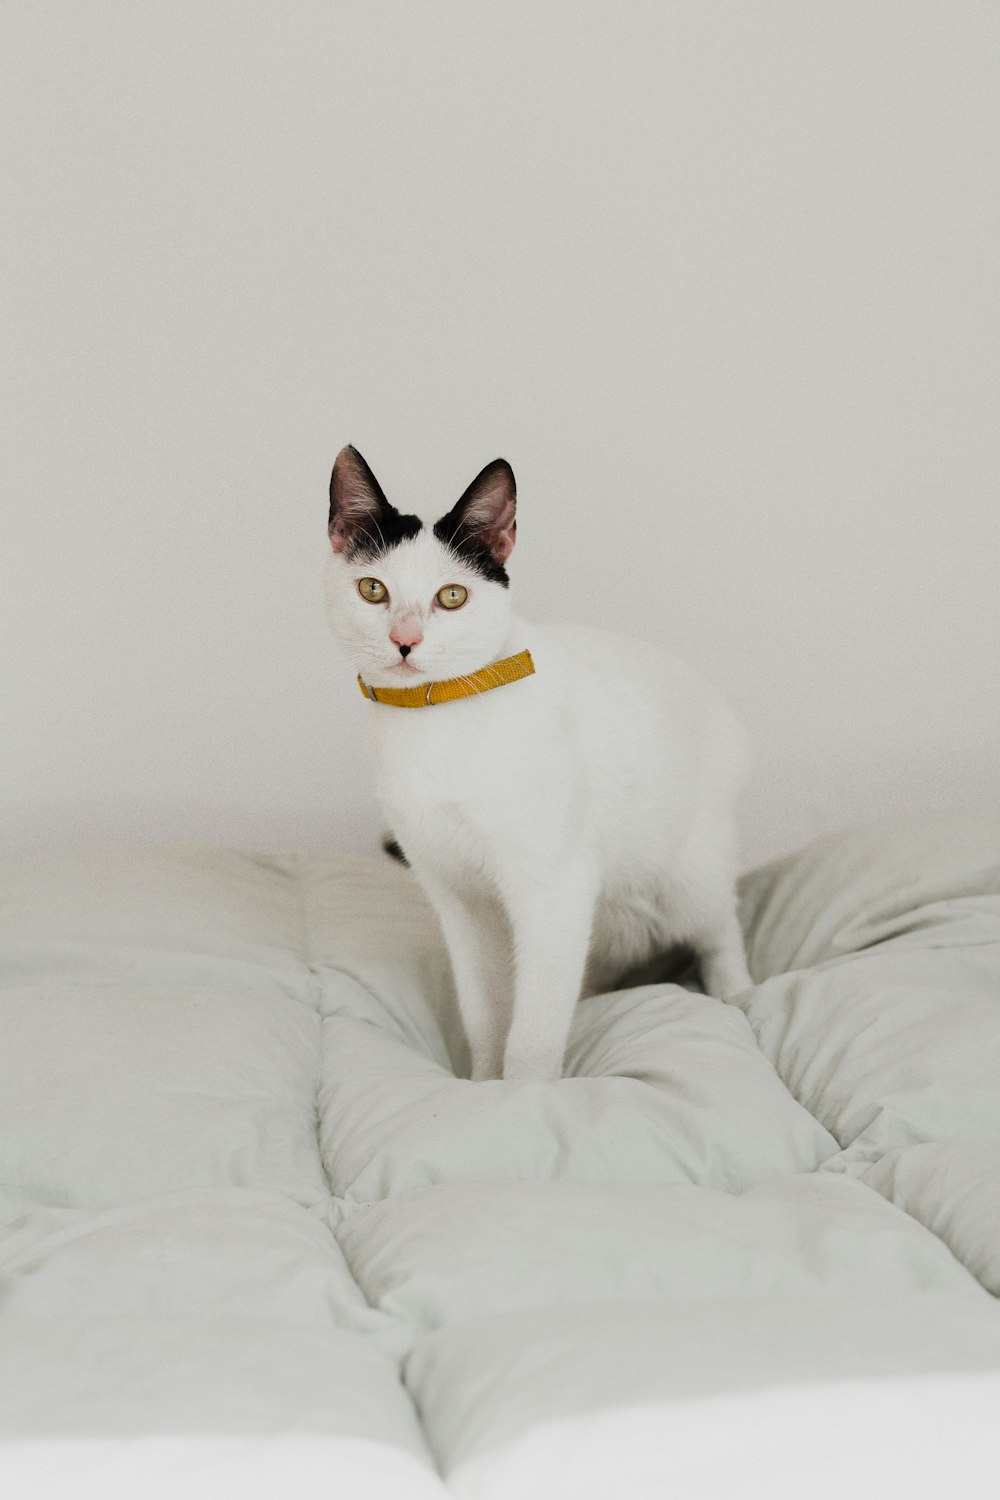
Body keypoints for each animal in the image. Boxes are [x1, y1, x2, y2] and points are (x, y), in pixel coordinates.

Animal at [325, 444, 755, 1080]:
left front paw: (525, 1094)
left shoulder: (555, 887)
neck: (433, 717)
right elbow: (484, 1011)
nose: (405, 640)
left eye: (452, 596)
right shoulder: (460, 900)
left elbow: (533, 1027)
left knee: (717, 925)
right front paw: (482, 1084)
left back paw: (736, 993)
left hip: (685, 874)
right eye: (373, 590)